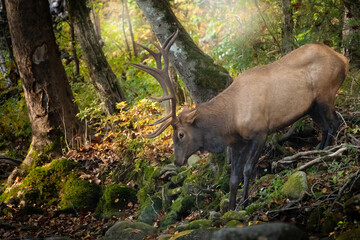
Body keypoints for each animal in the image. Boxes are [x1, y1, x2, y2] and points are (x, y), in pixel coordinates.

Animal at [131, 29, 348, 210]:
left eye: (181, 134)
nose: (177, 161)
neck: (230, 121)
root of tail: (343, 58)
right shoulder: (237, 143)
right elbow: (233, 178)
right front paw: (230, 208)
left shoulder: (260, 132)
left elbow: (248, 170)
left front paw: (244, 202)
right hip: (312, 106)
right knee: (325, 126)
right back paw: (318, 150)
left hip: (326, 93)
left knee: (334, 123)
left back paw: (327, 153)